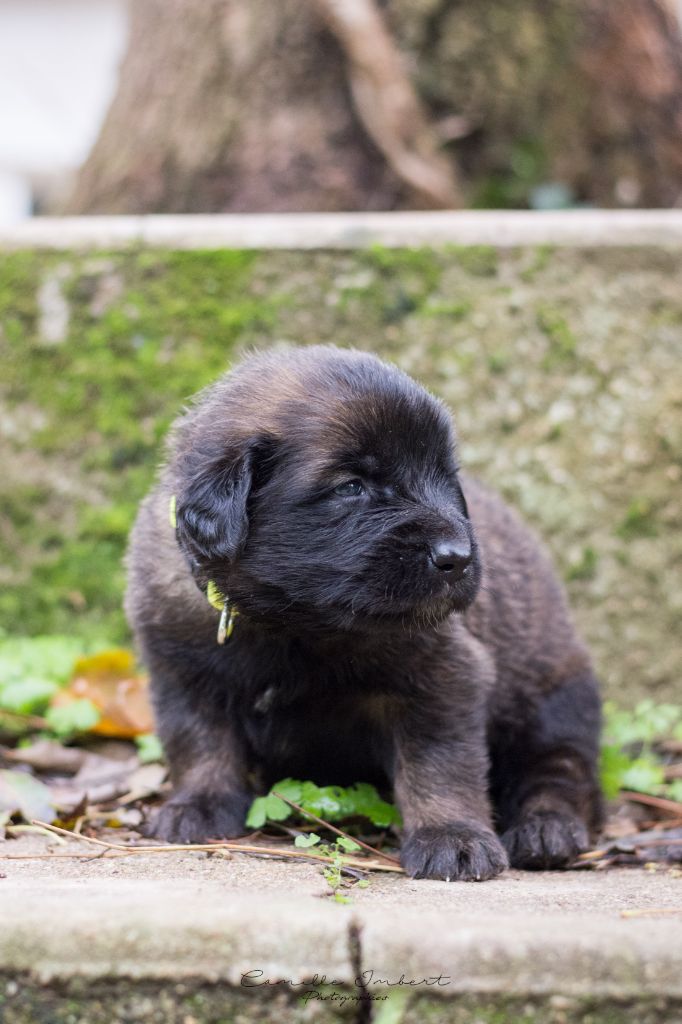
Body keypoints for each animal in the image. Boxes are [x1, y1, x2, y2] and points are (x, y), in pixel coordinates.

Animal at [125, 345, 602, 880]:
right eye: (352, 486)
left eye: (445, 477)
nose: (457, 556)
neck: (290, 622)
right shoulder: (185, 673)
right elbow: (200, 744)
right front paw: (199, 805)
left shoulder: (441, 677)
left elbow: (439, 764)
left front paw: (452, 836)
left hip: (553, 701)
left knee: (560, 770)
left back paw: (546, 830)